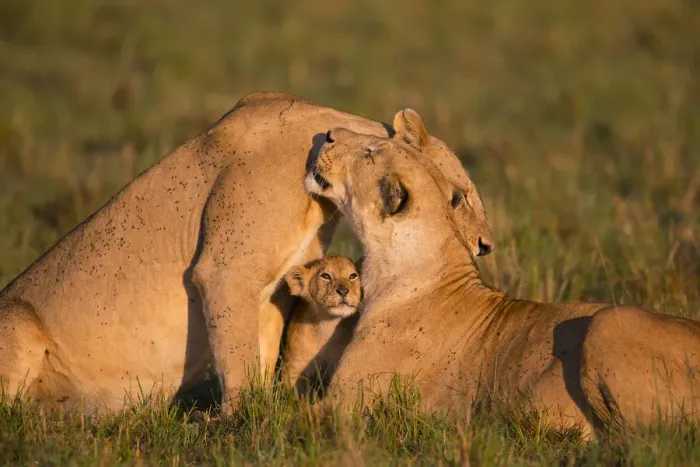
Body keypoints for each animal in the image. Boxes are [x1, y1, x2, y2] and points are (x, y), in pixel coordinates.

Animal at [280, 255, 361, 397]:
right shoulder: (292, 367)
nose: (343, 291)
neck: (327, 326)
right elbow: (294, 397)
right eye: (326, 276)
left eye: (352, 276)